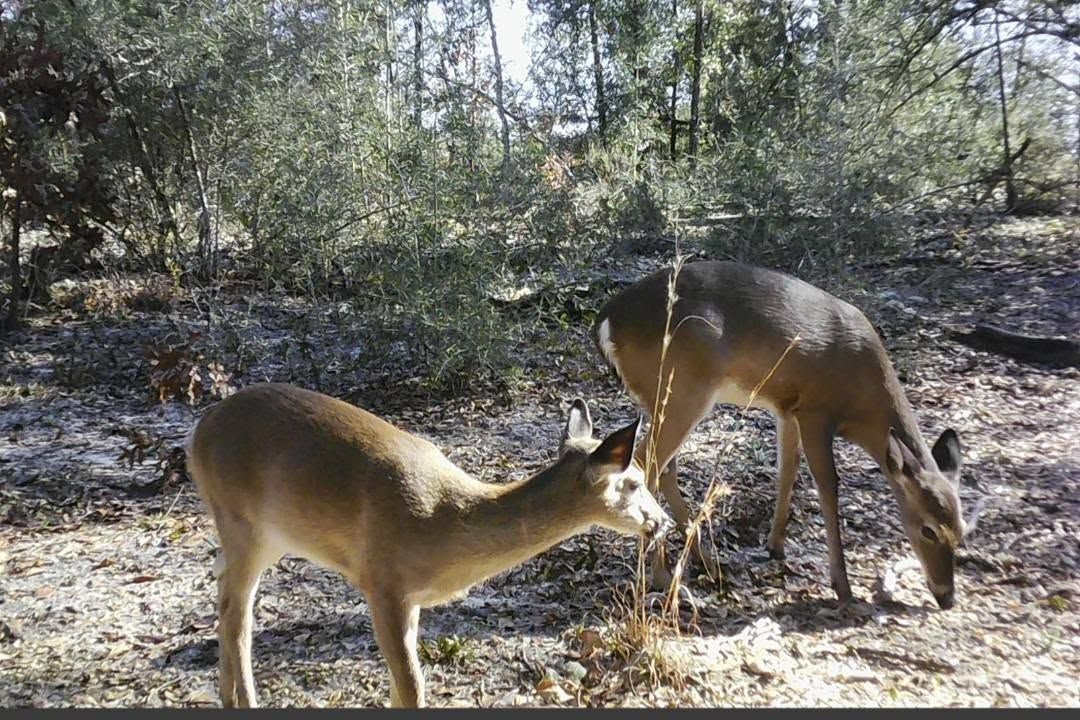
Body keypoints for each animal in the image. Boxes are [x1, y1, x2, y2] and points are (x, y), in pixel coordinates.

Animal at [184, 382, 673, 708]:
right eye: (633, 482)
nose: (662, 522)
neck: (444, 525)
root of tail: (195, 434)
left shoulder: (413, 598)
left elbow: (403, 686)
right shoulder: (382, 582)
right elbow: (413, 686)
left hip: (261, 536)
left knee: (223, 592)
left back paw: (226, 696)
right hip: (243, 524)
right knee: (237, 616)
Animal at [592, 260, 983, 609]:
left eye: (963, 530)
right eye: (928, 529)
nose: (946, 598)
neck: (862, 401)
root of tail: (607, 320)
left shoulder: (787, 410)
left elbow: (787, 470)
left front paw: (776, 545)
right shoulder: (816, 412)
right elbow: (828, 485)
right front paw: (843, 586)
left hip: (660, 398)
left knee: (664, 466)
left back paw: (704, 559)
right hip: (683, 390)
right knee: (647, 462)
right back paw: (662, 574)